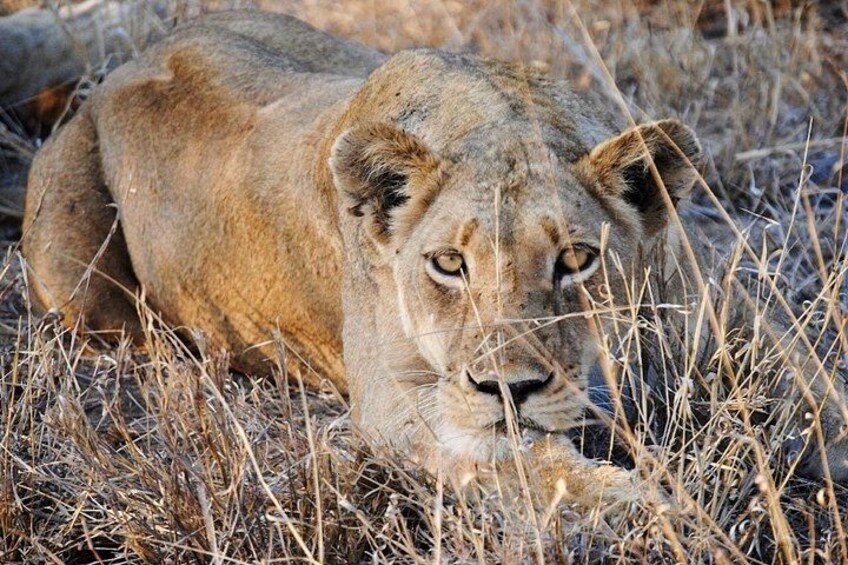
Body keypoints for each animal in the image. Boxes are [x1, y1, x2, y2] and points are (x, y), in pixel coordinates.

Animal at [21, 11, 848, 510]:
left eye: (577, 259)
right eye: (448, 263)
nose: (509, 389)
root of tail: (131, 59)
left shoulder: (727, 309)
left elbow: (819, 392)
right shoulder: (400, 408)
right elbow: (543, 471)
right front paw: (664, 512)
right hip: (73, 278)